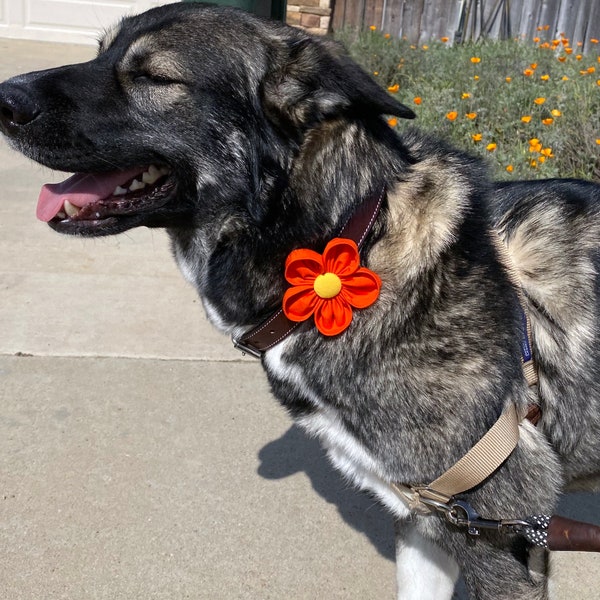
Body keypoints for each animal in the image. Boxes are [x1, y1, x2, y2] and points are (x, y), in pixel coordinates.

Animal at [1, 5, 600, 600]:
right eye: (100, 52)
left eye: (152, 76)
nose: (5, 99)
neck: (354, 238)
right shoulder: (426, 520)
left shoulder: (498, 536)